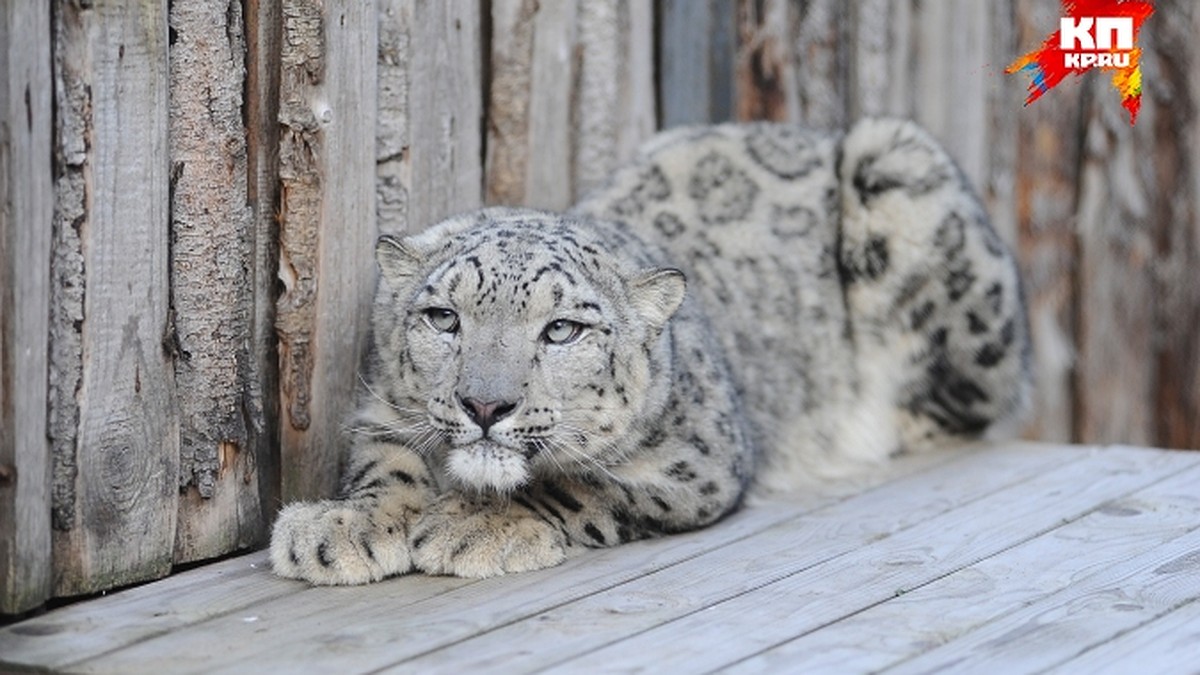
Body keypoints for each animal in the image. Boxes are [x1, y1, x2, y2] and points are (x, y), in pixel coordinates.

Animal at [270, 118, 1032, 581]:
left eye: (562, 329)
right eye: (443, 317)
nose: (485, 405)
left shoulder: (701, 462)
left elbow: (587, 484)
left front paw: (471, 525)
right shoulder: (379, 409)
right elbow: (384, 461)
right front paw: (341, 527)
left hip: (907, 176)